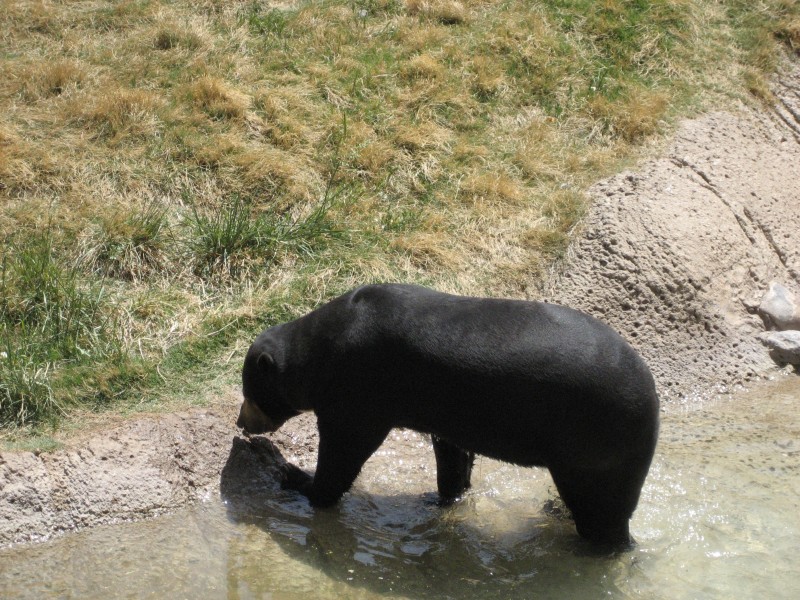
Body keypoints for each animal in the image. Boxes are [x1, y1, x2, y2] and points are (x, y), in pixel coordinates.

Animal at [236, 284, 656, 548]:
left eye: (250, 396)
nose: (242, 424)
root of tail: (652, 405)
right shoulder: (449, 414)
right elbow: (453, 457)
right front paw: (439, 498)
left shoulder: (358, 394)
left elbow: (343, 453)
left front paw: (290, 473)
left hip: (593, 451)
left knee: (602, 513)